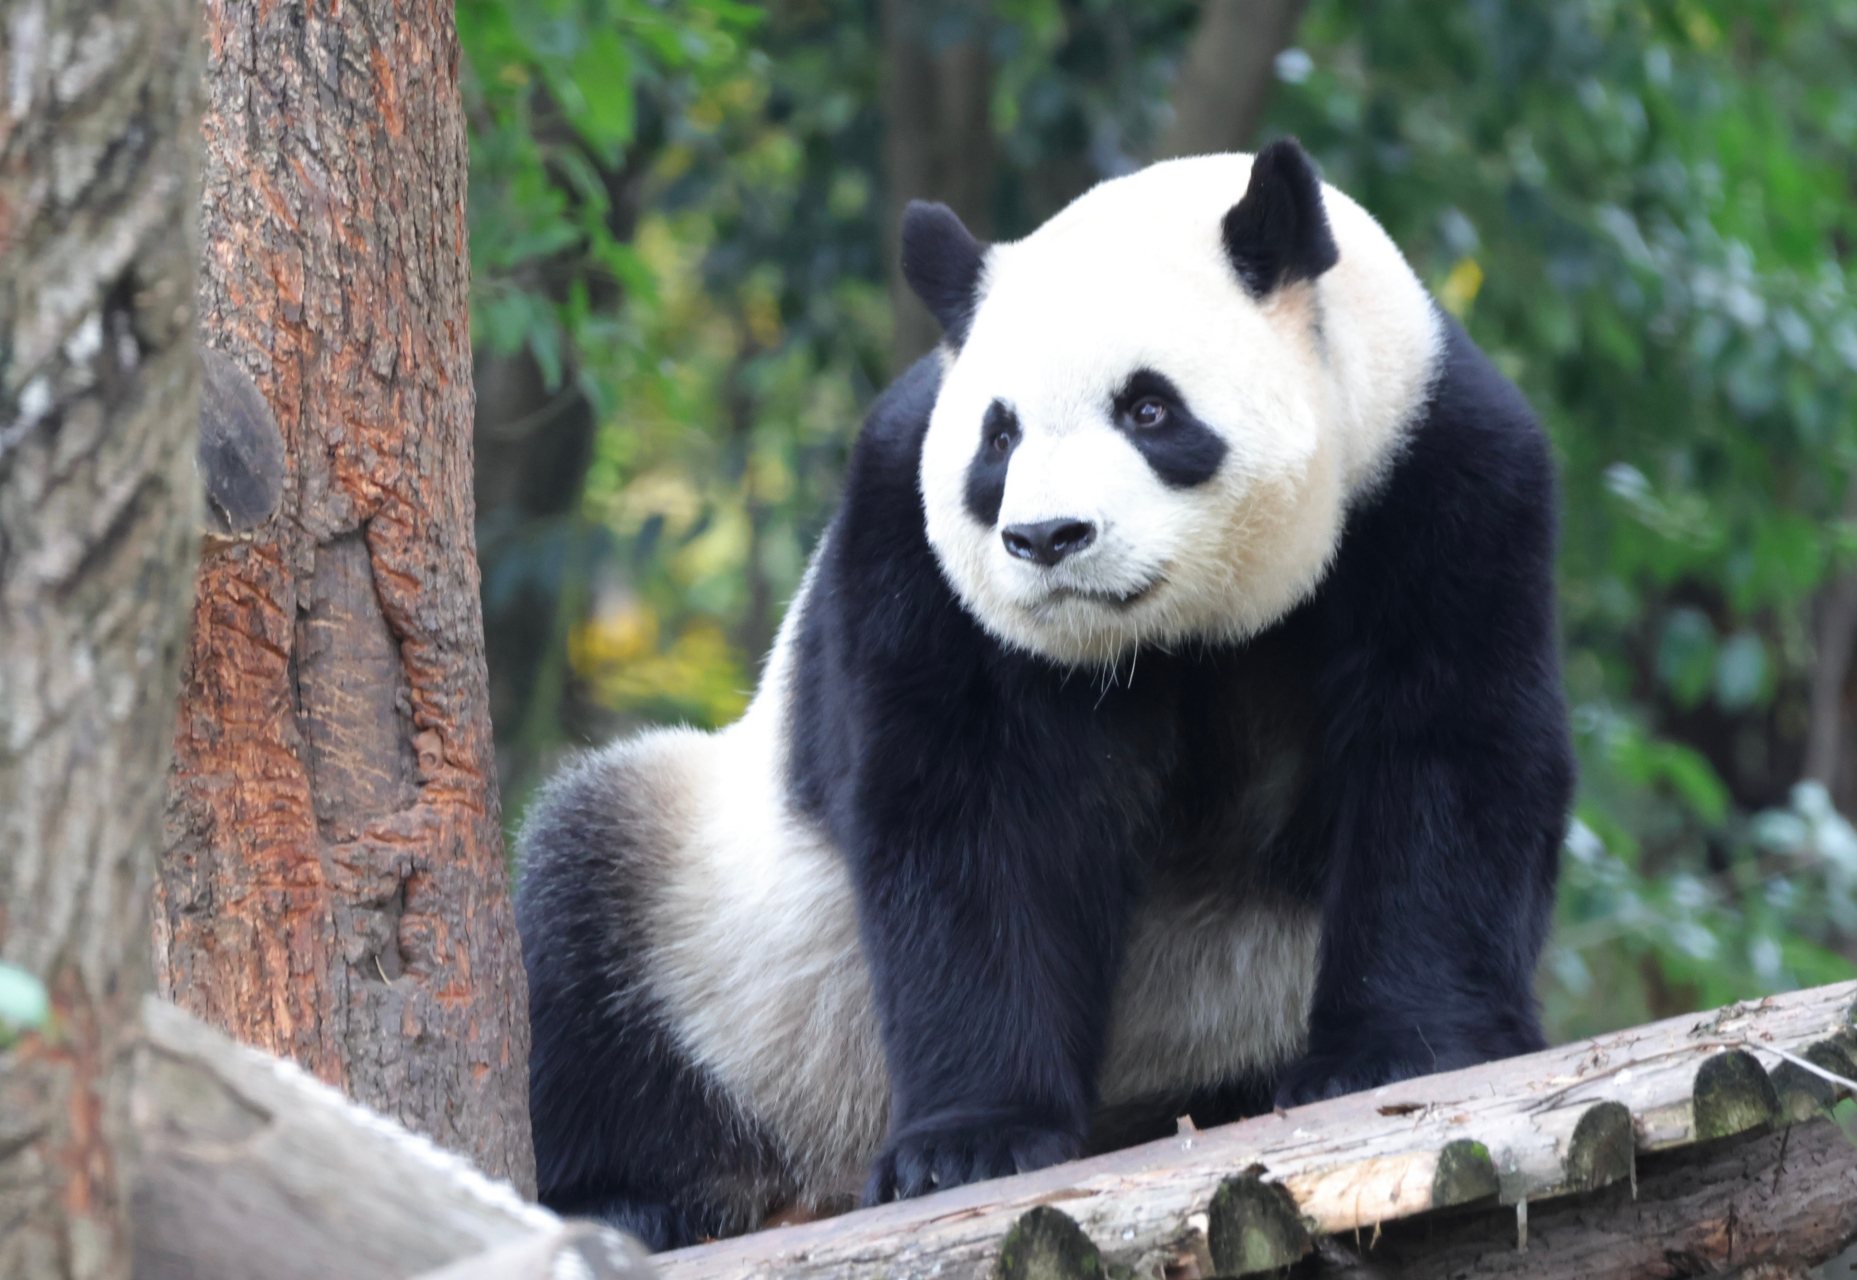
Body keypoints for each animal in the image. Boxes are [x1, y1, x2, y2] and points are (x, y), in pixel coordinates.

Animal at [516, 139, 1574, 1248]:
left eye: (1149, 408)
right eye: (998, 437)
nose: (1045, 537)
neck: (1161, 637)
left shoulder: (1434, 479)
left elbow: (1443, 754)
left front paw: (1396, 1049)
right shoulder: (914, 549)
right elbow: (976, 813)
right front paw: (972, 1142)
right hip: (728, 947)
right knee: (580, 931)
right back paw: (623, 1192)